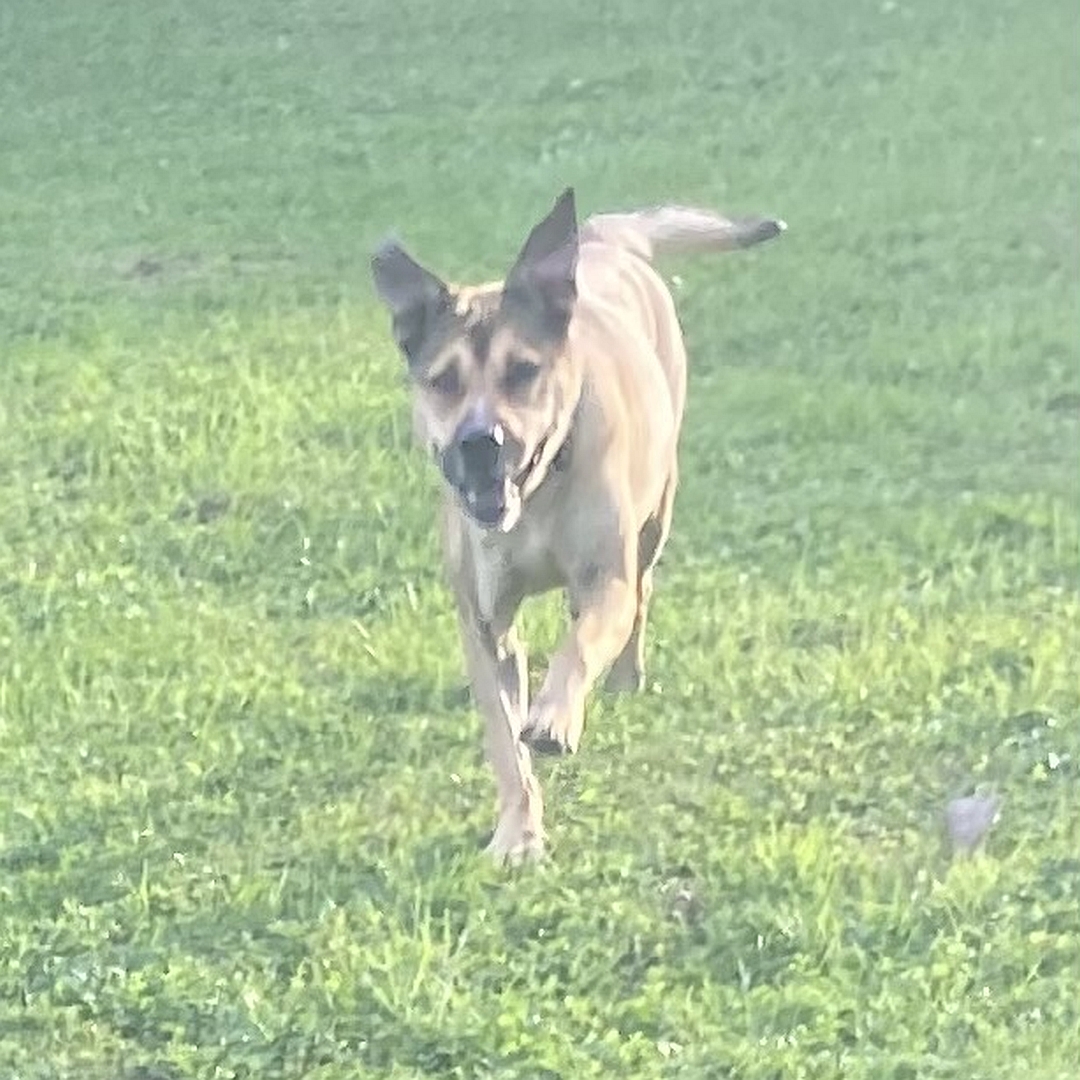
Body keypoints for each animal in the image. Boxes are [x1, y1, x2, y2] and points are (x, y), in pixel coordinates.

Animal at [371, 185, 786, 859]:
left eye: (522, 370)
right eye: (444, 381)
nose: (480, 443)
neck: (536, 498)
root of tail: (602, 238)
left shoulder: (605, 574)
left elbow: (582, 644)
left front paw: (555, 715)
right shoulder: (484, 621)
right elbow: (504, 740)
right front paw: (518, 831)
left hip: (656, 512)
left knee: (640, 590)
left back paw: (624, 675)